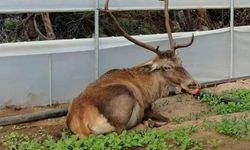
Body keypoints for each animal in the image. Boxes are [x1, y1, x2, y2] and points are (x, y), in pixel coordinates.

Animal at [66, 0, 199, 137]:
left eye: (181, 61)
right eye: (166, 67)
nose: (192, 83)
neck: (151, 91)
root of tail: (81, 122)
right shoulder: (146, 107)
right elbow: (168, 119)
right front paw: (151, 122)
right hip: (124, 102)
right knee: (121, 132)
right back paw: (147, 124)